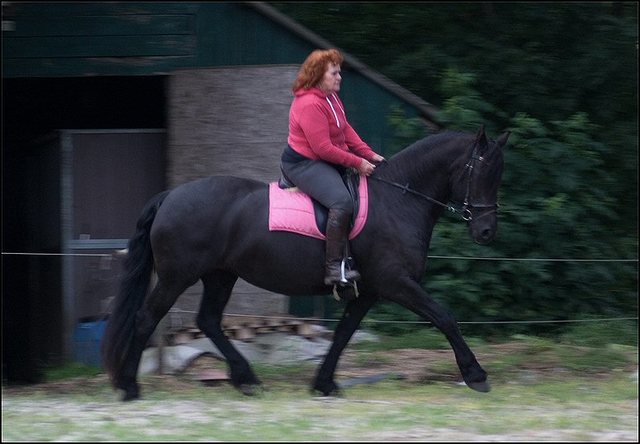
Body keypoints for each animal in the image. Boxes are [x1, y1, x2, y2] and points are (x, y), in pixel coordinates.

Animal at [102, 126, 508, 400]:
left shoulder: (368, 291)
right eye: (481, 172)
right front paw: (476, 374)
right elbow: (444, 317)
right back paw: (129, 386)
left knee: (208, 321)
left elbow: (343, 333)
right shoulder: (396, 283)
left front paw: (324, 383)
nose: (487, 231)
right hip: (178, 276)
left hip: (220, 275)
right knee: (147, 318)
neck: (398, 201)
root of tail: (171, 195)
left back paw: (245, 378)